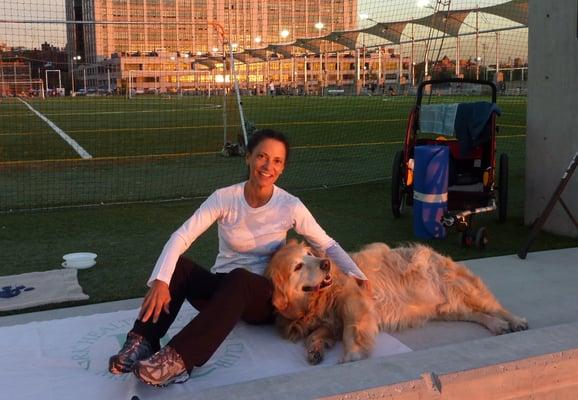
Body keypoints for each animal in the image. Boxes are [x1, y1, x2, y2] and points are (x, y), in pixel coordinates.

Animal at [266, 241, 528, 366]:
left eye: (310, 254)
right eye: (298, 266)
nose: (326, 263)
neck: (315, 301)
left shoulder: (353, 302)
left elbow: (352, 330)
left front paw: (352, 355)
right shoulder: (329, 322)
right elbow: (318, 333)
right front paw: (315, 349)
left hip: (460, 287)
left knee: (493, 306)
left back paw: (516, 321)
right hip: (448, 307)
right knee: (476, 314)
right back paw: (498, 326)